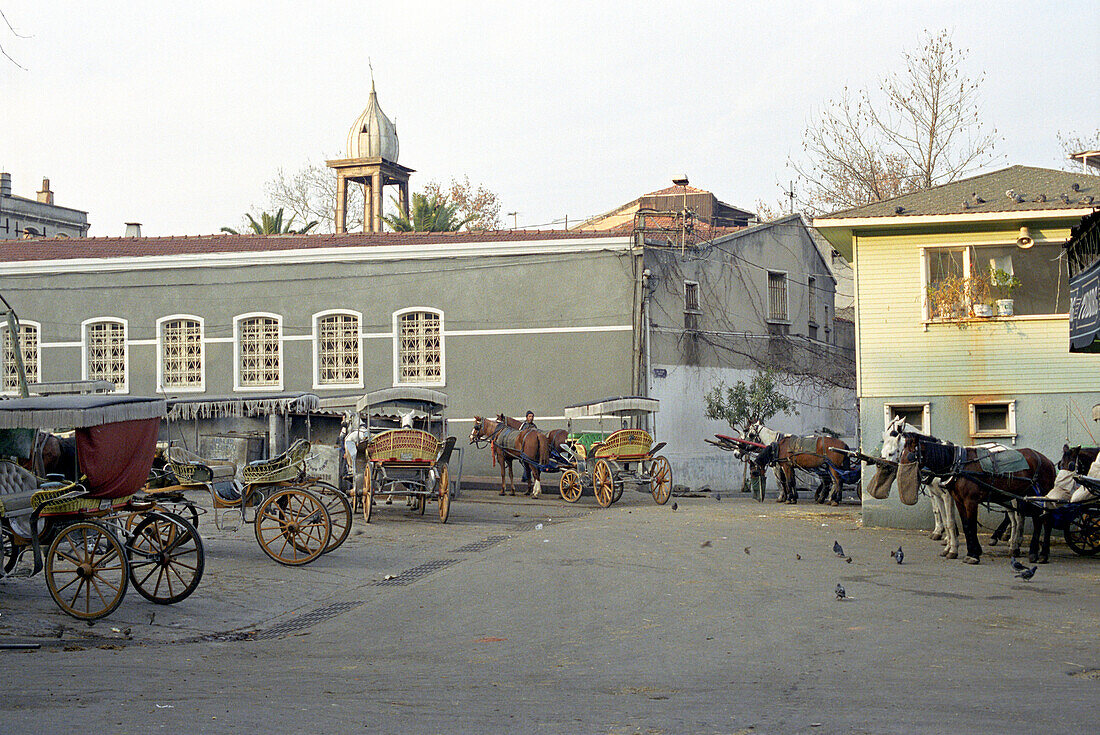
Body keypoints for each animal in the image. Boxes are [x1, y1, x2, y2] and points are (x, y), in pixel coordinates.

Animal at [897, 431, 1060, 563]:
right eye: (901, 451)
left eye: (908, 454)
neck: (957, 464)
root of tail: (1047, 461)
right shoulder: (957, 500)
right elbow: (965, 525)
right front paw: (966, 551)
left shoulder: (969, 501)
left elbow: (968, 524)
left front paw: (972, 554)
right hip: (1028, 496)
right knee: (1035, 519)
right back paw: (1032, 552)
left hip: (1037, 495)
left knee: (1040, 520)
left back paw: (1038, 553)